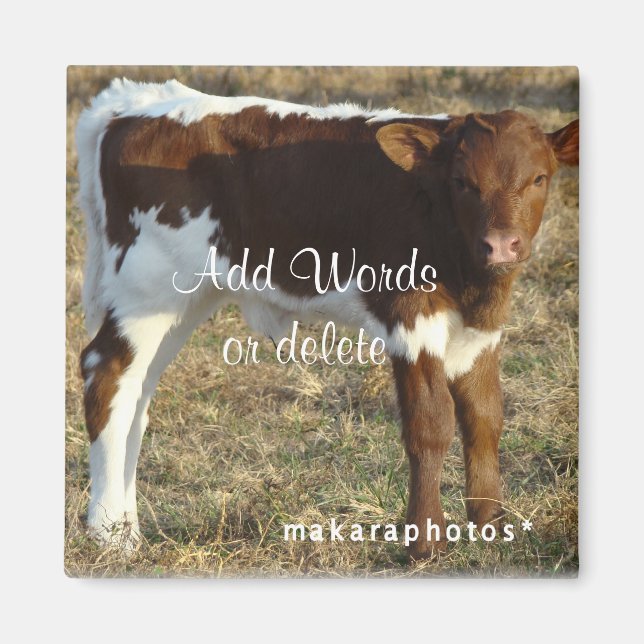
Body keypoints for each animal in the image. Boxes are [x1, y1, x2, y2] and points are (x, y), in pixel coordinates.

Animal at [76, 78, 578, 559]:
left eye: (539, 178)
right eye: (462, 181)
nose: (501, 245)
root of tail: (129, 104)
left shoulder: (483, 327)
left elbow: (485, 417)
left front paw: (491, 527)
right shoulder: (410, 314)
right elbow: (431, 423)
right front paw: (425, 542)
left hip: (184, 299)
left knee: (136, 394)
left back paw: (127, 528)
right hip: (146, 286)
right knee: (106, 375)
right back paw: (110, 535)